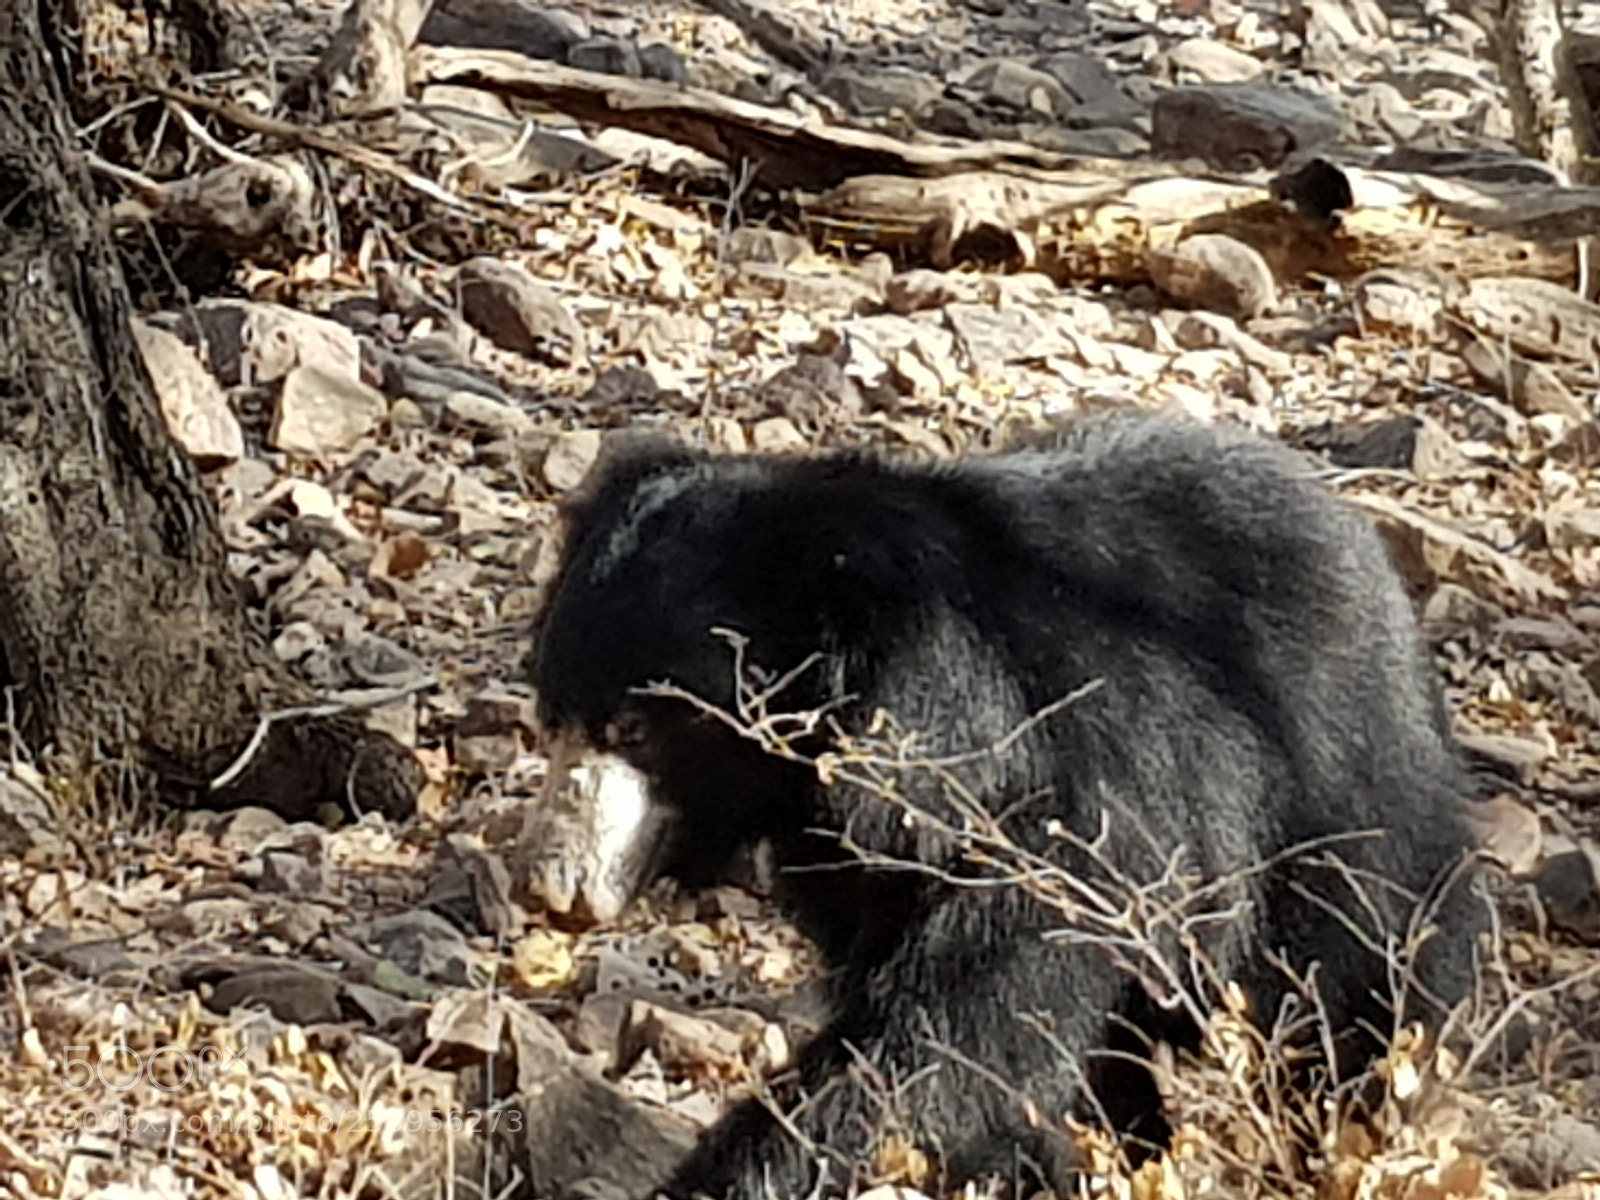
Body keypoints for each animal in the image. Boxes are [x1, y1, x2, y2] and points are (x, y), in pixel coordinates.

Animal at [526, 412, 1483, 1200]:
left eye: (636, 727)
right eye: (554, 719)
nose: (555, 885)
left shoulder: (1052, 817)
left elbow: (959, 1037)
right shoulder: (858, 858)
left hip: (1346, 787)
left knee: (1351, 988)